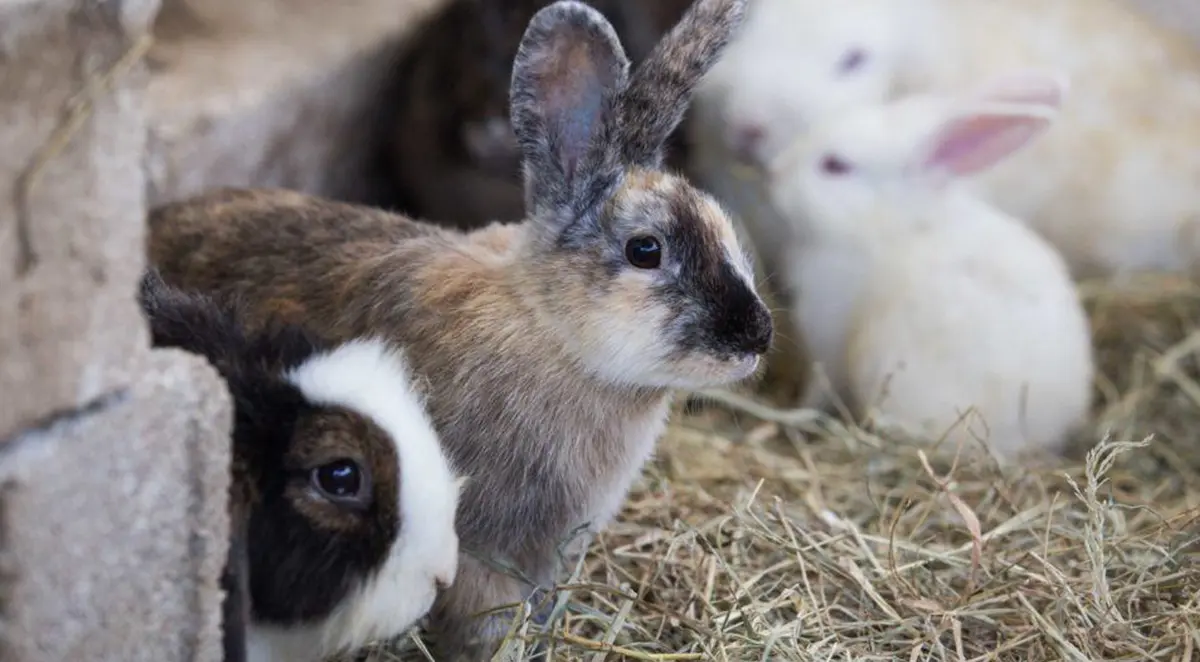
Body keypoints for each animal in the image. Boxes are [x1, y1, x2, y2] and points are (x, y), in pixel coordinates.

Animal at [768, 69, 1099, 458]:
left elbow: (819, 387)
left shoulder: (828, 342)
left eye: (835, 165)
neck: (881, 224)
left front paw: (796, 414)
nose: (774, 172)